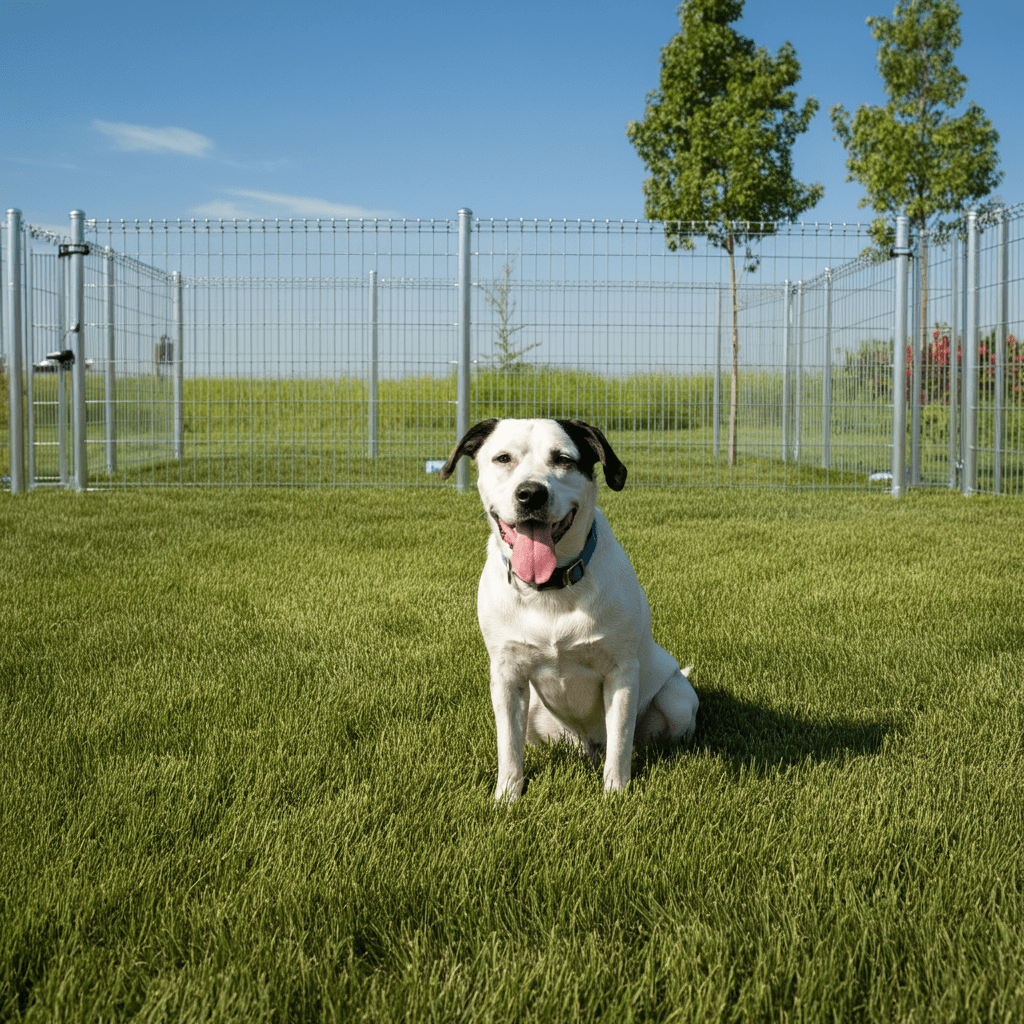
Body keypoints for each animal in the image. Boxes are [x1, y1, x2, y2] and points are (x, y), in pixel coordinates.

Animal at [440, 415, 696, 798]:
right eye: (503, 458)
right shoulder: (507, 676)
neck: (549, 589)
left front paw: (615, 795)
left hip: (676, 698)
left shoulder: (621, 674)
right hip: (534, 712)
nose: (531, 493)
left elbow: (621, 744)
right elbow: (508, 748)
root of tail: (586, 744)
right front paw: (507, 797)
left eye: (563, 459)